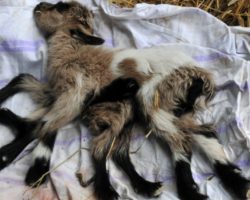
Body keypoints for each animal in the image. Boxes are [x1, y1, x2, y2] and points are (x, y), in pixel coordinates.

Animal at [0, 1, 249, 200]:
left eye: (61, 7)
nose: (39, 6)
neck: (71, 50)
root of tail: (202, 78)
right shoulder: (56, 92)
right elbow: (25, 82)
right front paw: (8, 117)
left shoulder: (75, 89)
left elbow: (45, 124)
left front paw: (20, 161)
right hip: (169, 109)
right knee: (200, 135)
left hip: (154, 98)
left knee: (176, 143)